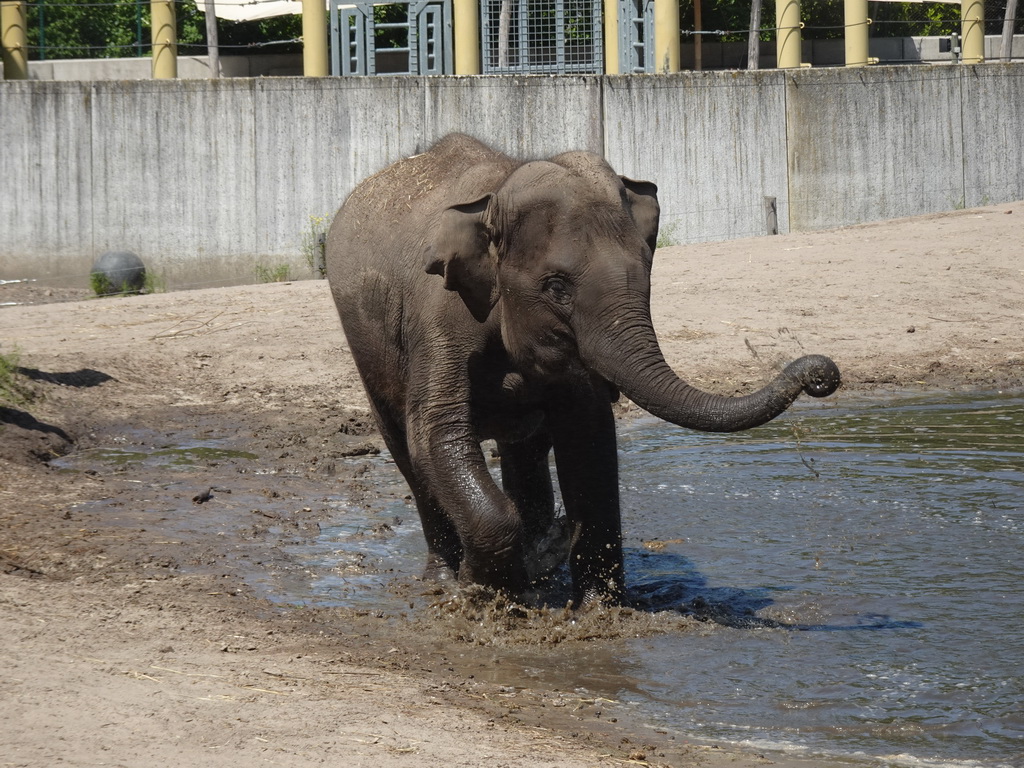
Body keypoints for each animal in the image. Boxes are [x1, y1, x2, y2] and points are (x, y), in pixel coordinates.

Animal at [325, 135, 839, 610]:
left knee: (524, 451)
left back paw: (537, 561)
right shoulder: (440, 318)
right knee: (408, 454)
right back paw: (447, 579)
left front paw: (595, 608)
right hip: (367, 346)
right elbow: (438, 432)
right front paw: (482, 587)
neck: (496, 196)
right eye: (557, 287)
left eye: (646, 269)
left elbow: (588, 438)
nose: (822, 373)